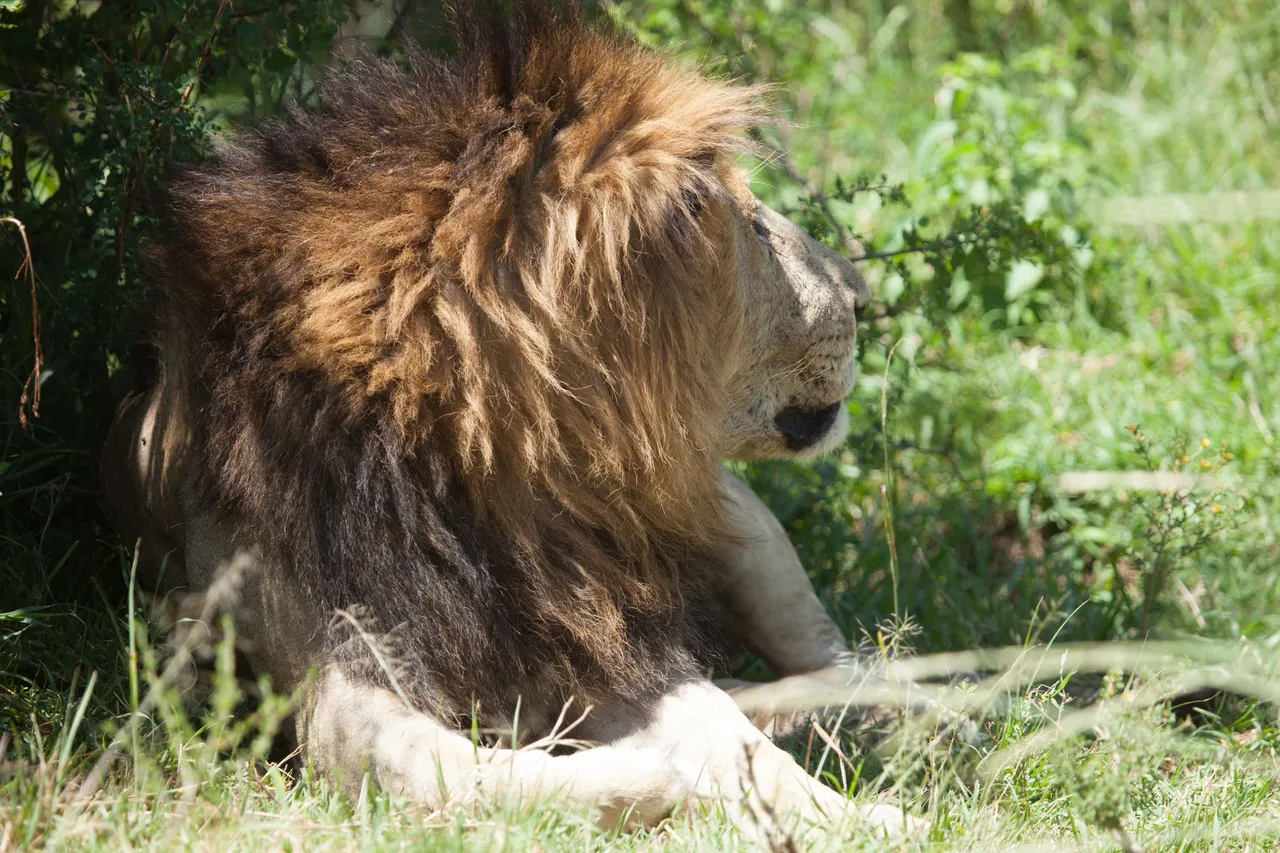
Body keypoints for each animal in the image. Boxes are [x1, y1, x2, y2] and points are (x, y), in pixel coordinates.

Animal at [102, 0, 911, 835]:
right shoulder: (340, 652)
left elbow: (727, 735)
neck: (484, 467)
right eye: (750, 226)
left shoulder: (594, 627)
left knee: (838, 659)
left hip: (741, 521)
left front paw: (871, 819)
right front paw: (659, 779)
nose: (863, 299)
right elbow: (432, 771)